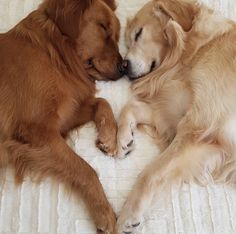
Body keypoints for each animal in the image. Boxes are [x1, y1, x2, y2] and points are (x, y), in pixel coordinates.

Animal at [115, 0, 236, 233]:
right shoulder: (177, 116)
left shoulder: (197, 126)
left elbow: (150, 173)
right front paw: (123, 138)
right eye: (128, 41)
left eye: (138, 33)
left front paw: (128, 214)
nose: (122, 66)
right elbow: (130, 106)